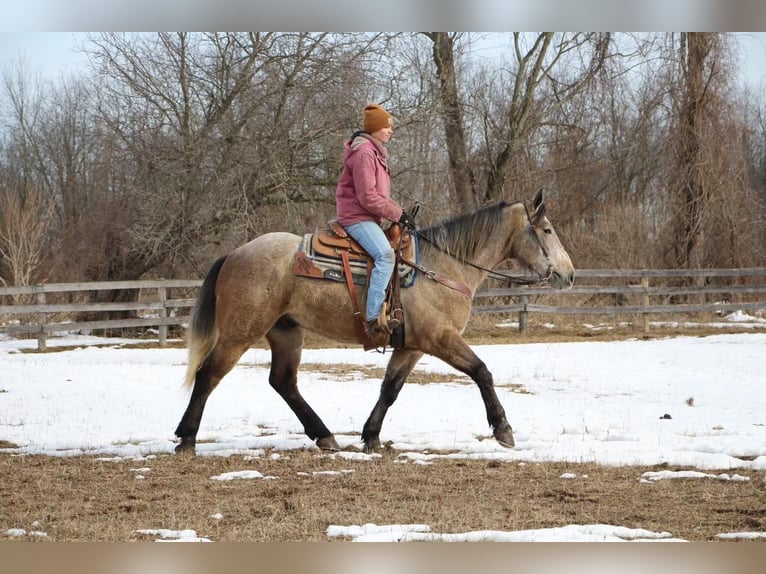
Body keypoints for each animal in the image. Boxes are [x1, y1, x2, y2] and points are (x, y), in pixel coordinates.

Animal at [172, 191, 568, 456]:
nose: (568, 273)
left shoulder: (412, 346)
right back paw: (187, 438)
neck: (443, 266)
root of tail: (235, 253)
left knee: (283, 382)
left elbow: (390, 389)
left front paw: (371, 436)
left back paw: (325, 436)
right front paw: (503, 429)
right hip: (241, 332)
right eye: (547, 230)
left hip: (285, 331)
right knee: (209, 374)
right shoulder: (440, 339)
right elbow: (482, 371)